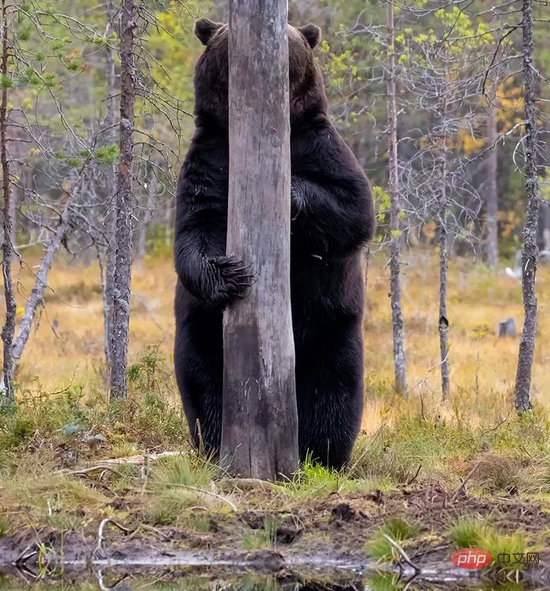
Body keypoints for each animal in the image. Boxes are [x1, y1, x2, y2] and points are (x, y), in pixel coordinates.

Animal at [177, 20, 376, 470]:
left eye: (291, 37)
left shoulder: (319, 144)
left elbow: (354, 207)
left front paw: (291, 192)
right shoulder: (210, 158)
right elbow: (194, 228)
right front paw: (230, 274)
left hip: (332, 329)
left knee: (334, 393)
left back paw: (323, 455)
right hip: (201, 333)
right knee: (203, 385)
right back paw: (215, 444)